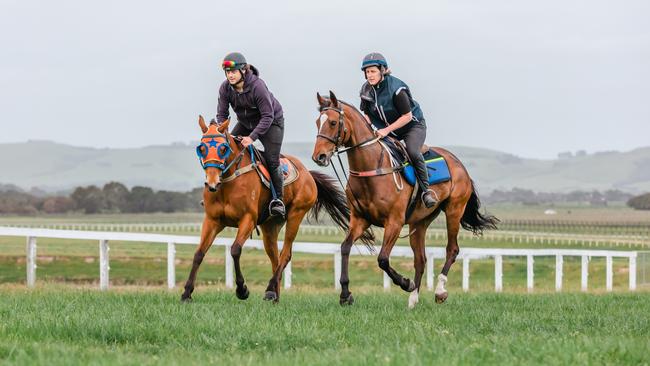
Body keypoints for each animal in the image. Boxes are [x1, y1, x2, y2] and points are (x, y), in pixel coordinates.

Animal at [180, 116, 372, 302]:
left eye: (223, 149)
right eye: (201, 148)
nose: (212, 183)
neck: (229, 180)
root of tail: (308, 174)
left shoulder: (248, 219)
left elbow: (235, 250)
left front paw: (242, 290)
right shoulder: (212, 221)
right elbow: (199, 253)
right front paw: (187, 293)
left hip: (296, 215)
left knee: (285, 254)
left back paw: (270, 290)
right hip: (270, 226)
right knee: (275, 259)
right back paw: (274, 294)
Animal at [308, 91, 496, 308]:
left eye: (332, 122)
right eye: (317, 122)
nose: (319, 156)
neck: (372, 169)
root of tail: (459, 164)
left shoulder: (394, 222)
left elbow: (382, 259)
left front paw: (405, 282)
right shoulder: (360, 219)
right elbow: (345, 248)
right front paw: (345, 294)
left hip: (454, 210)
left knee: (452, 249)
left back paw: (439, 290)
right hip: (420, 222)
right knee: (420, 259)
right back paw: (413, 300)